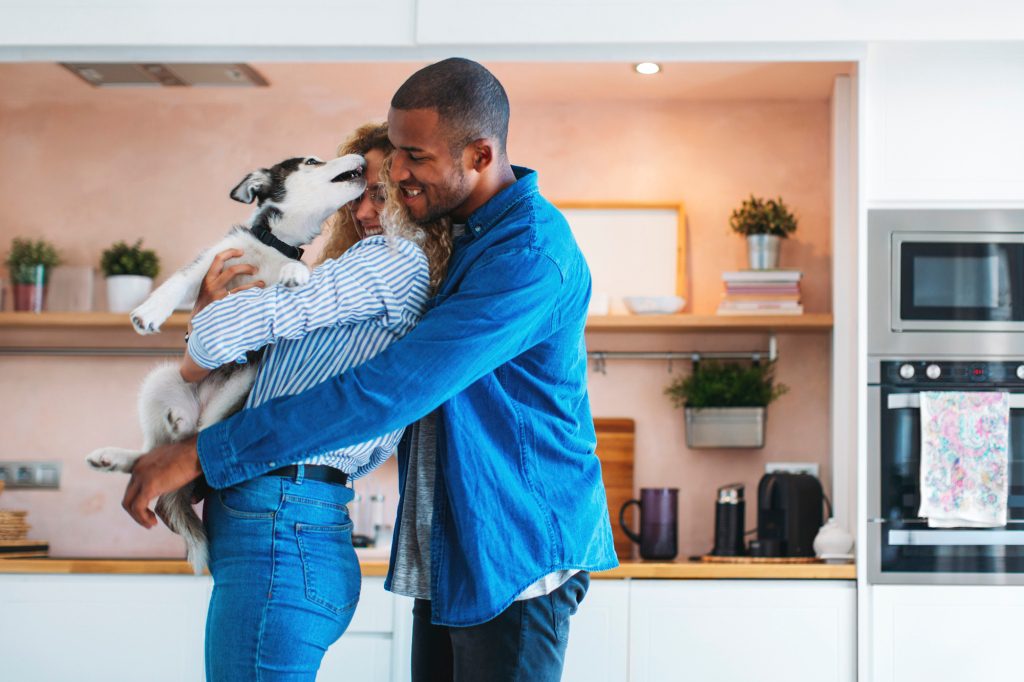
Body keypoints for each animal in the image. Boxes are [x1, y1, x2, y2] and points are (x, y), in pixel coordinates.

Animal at [87, 152, 368, 569]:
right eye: (312, 161)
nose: (360, 158)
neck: (277, 243)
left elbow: (301, 271)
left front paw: (295, 273)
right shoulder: (213, 259)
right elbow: (178, 282)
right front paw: (150, 311)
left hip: (239, 387)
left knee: (196, 440)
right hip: (161, 380)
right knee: (154, 448)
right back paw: (120, 451)